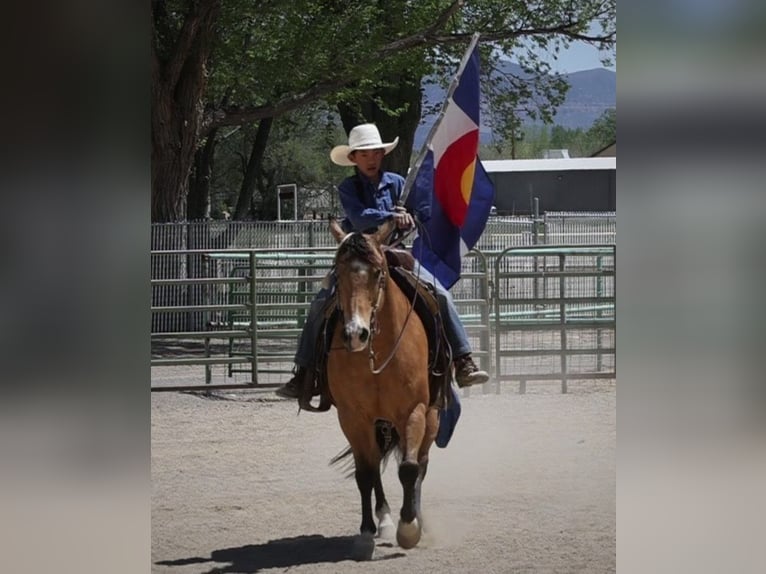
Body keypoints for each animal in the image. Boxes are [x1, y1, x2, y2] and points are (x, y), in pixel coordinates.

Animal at [326, 218, 448, 560]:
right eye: (337, 272)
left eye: (378, 272)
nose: (355, 334)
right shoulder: (352, 418)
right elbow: (365, 474)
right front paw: (366, 533)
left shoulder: (414, 411)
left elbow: (408, 469)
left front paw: (409, 530)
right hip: (376, 424)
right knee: (374, 465)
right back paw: (384, 520)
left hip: (431, 418)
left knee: (420, 465)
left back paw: (417, 519)